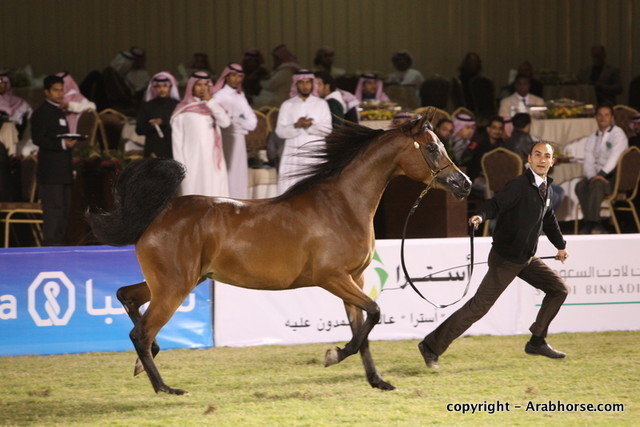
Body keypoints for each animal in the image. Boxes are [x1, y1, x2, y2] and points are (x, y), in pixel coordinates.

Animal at [88, 114, 471, 395]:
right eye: (432, 148)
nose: (464, 185)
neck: (342, 205)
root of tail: (157, 217)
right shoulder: (332, 278)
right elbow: (374, 315)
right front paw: (333, 355)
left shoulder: (354, 279)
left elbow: (362, 329)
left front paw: (377, 381)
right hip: (174, 287)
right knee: (141, 333)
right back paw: (164, 387)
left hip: (175, 282)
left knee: (127, 297)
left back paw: (144, 362)